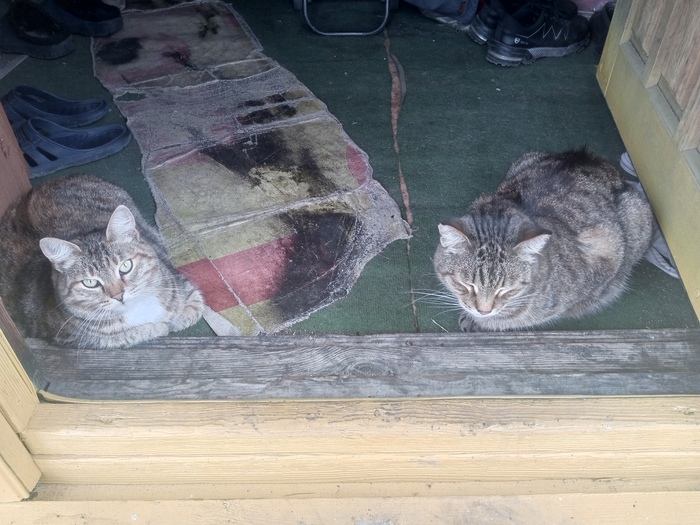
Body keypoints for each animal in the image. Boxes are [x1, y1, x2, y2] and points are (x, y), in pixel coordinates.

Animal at [0, 174, 205, 348]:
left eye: (125, 266)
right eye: (90, 283)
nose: (119, 296)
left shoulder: (179, 282)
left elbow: (193, 307)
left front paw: (175, 318)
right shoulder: (70, 339)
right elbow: (129, 335)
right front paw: (157, 327)